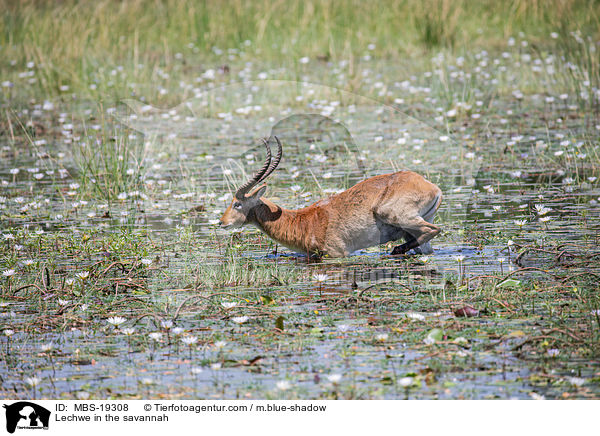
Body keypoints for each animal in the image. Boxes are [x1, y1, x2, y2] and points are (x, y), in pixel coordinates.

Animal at [219, 138, 440, 258]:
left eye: (237, 203)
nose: (221, 222)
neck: (303, 221)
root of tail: (431, 187)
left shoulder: (337, 253)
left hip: (394, 215)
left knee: (433, 230)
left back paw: (395, 250)